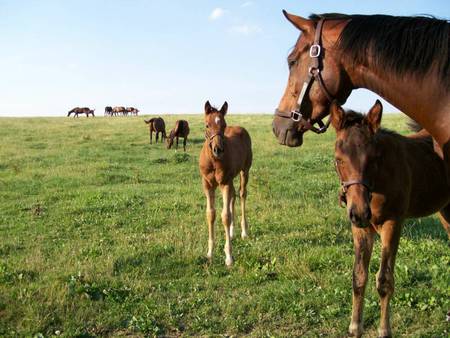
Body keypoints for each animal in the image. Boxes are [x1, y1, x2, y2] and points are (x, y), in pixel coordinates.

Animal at [200, 101, 253, 266]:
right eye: (207, 125)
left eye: (223, 125)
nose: (218, 149)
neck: (214, 161)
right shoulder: (207, 185)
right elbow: (210, 214)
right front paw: (210, 253)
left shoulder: (224, 183)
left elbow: (225, 216)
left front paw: (229, 256)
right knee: (233, 197)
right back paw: (231, 231)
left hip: (244, 171)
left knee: (242, 194)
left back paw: (243, 232)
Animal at [330, 100, 450, 338]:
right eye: (339, 159)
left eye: (374, 158)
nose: (359, 212)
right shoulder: (361, 228)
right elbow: (359, 276)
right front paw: (355, 327)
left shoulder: (392, 223)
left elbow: (384, 280)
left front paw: (384, 330)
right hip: (445, 210)